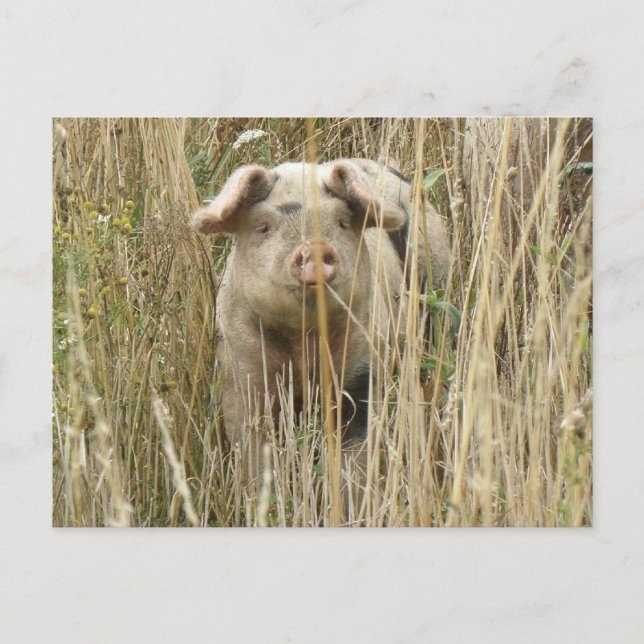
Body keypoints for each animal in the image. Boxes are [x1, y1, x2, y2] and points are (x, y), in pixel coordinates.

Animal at [192, 158, 450, 494]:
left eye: (342, 222)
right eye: (263, 226)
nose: (314, 246)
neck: (303, 342)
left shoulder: (363, 367)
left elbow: (354, 456)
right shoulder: (240, 371)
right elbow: (254, 451)